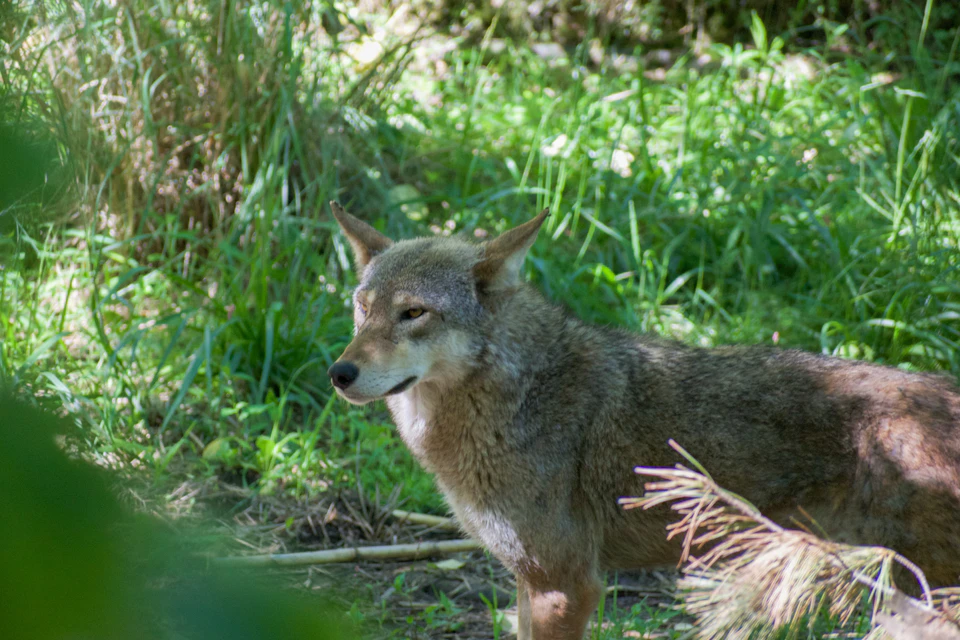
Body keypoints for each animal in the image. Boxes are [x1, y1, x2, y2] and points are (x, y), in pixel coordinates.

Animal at [327, 202, 960, 640]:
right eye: (362, 308)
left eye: (413, 314)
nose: (339, 373)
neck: (520, 396)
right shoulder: (530, 582)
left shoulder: (566, 585)